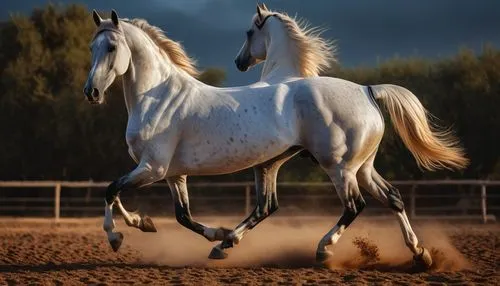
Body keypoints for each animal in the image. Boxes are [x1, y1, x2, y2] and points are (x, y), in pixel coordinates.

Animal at [84, 9, 466, 268]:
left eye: (112, 47)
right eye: (92, 47)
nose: (91, 92)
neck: (159, 97)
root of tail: (368, 90)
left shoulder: (153, 168)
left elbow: (111, 190)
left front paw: (118, 236)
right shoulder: (172, 174)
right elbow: (180, 215)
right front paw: (194, 231)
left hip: (339, 167)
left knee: (354, 206)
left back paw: (323, 250)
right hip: (360, 167)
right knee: (393, 198)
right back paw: (420, 254)